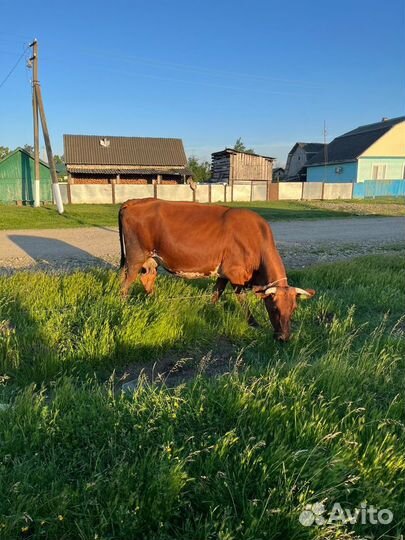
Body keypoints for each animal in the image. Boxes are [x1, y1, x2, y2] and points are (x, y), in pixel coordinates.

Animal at [118, 198, 314, 342]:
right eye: (274, 308)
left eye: (294, 308)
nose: (284, 337)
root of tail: (135, 201)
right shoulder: (235, 273)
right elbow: (242, 299)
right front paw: (253, 323)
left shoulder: (224, 273)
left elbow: (217, 292)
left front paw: (209, 310)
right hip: (136, 256)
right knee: (126, 282)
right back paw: (125, 305)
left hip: (152, 260)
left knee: (146, 279)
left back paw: (156, 300)